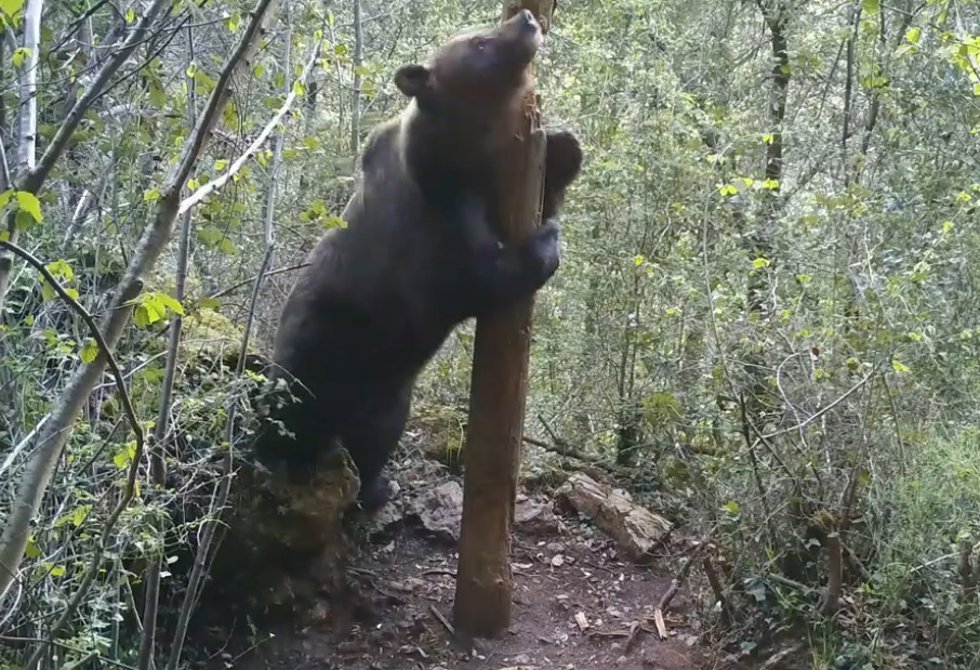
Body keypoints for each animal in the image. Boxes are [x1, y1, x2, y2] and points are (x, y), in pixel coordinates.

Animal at [253, 8, 583, 513]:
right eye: (479, 43)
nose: (526, 19)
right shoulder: (435, 220)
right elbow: (481, 276)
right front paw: (546, 243)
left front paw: (566, 149)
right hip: (320, 348)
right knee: (294, 413)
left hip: (389, 388)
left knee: (375, 436)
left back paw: (375, 487)